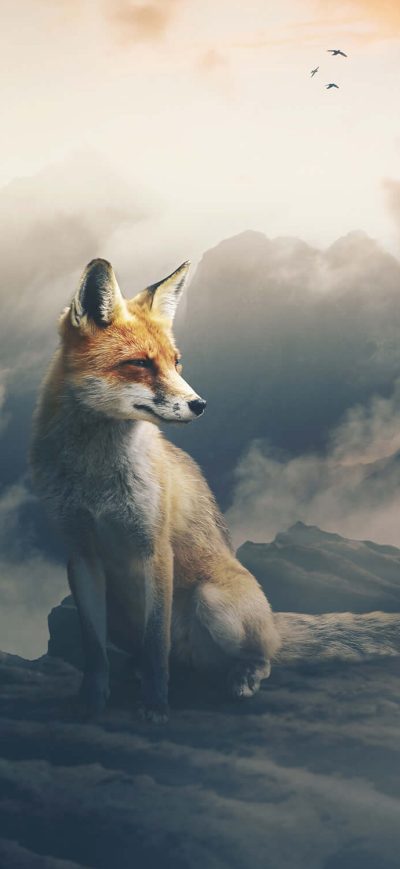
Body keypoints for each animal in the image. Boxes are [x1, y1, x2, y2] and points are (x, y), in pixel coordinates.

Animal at [31, 258, 400, 722]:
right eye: (141, 364)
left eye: (177, 363)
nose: (200, 405)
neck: (96, 478)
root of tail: (273, 622)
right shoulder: (80, 555)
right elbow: (95, 652)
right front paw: (91, 703)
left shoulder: (154, 550)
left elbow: (156, 643)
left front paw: (156, 707)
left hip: (213, 602)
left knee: (257, 656)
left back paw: (242, 677)